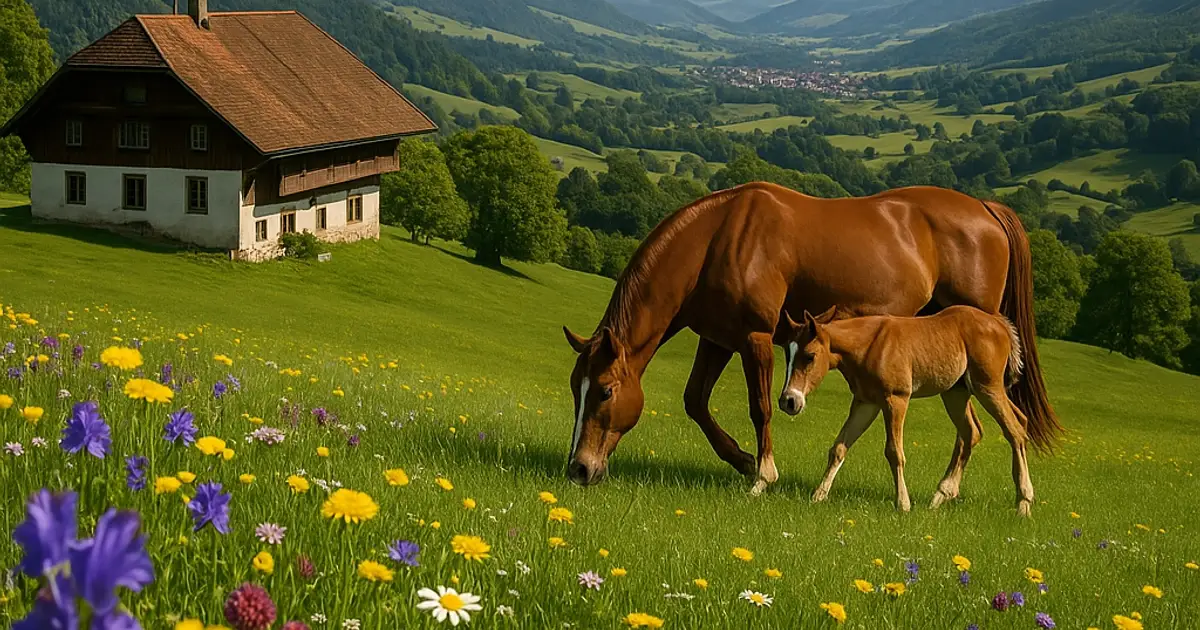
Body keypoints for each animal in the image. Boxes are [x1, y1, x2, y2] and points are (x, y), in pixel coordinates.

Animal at [562, 182, 1061, 493]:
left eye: (605, 391)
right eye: (574, 389)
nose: (579, 469)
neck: (718, 238)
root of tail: (986, 210)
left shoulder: (755, 337)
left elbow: (761, 407)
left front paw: (763, 473)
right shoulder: (718, 339)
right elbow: (695, 402)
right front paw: (742, 459)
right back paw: (947, 490)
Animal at [777, 306, 1035, 515]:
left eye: (809, 356)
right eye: (788, 354)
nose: (789, 401)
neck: (869, 345)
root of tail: (999, 324)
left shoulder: (896, 399)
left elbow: (894, 452)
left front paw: (903, 504)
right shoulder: (866, 403)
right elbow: (839, 447)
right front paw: (818, 496)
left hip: (988, 387)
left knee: (1014, 431)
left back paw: (1024, 502)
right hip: (956, 393)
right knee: (975, 431)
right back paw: (941, 495)